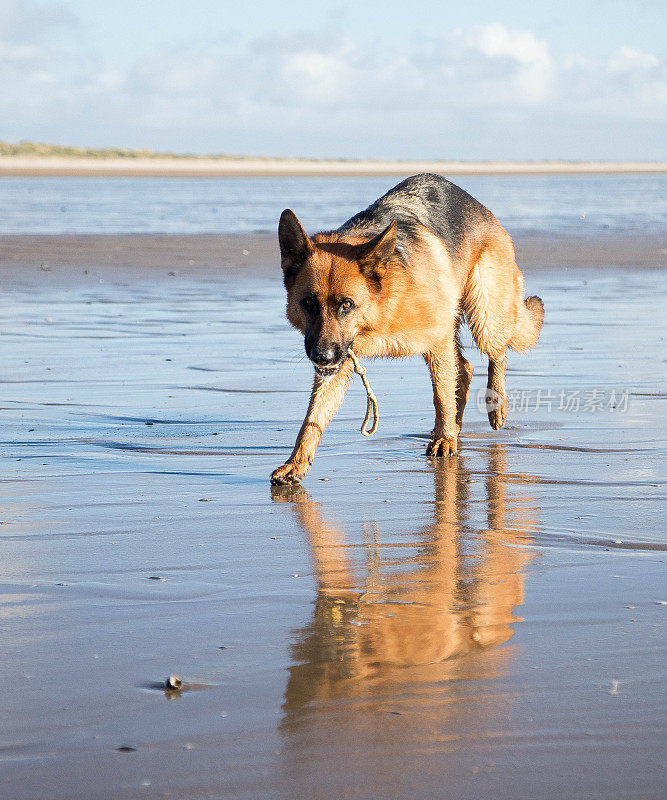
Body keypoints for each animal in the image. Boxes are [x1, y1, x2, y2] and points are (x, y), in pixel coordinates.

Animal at [272, 175, 544, 484]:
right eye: (308, 303)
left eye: (347, 305)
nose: (322, 357)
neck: (383, 303)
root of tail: (482, 209)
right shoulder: (342, 360)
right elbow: (313, 416)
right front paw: (296, 462)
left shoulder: (437, 340)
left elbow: (441, 394)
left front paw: (444, 438)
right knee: (464, 368)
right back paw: (455, 426)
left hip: (484, 313)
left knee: (497, 351)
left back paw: (493, 407)